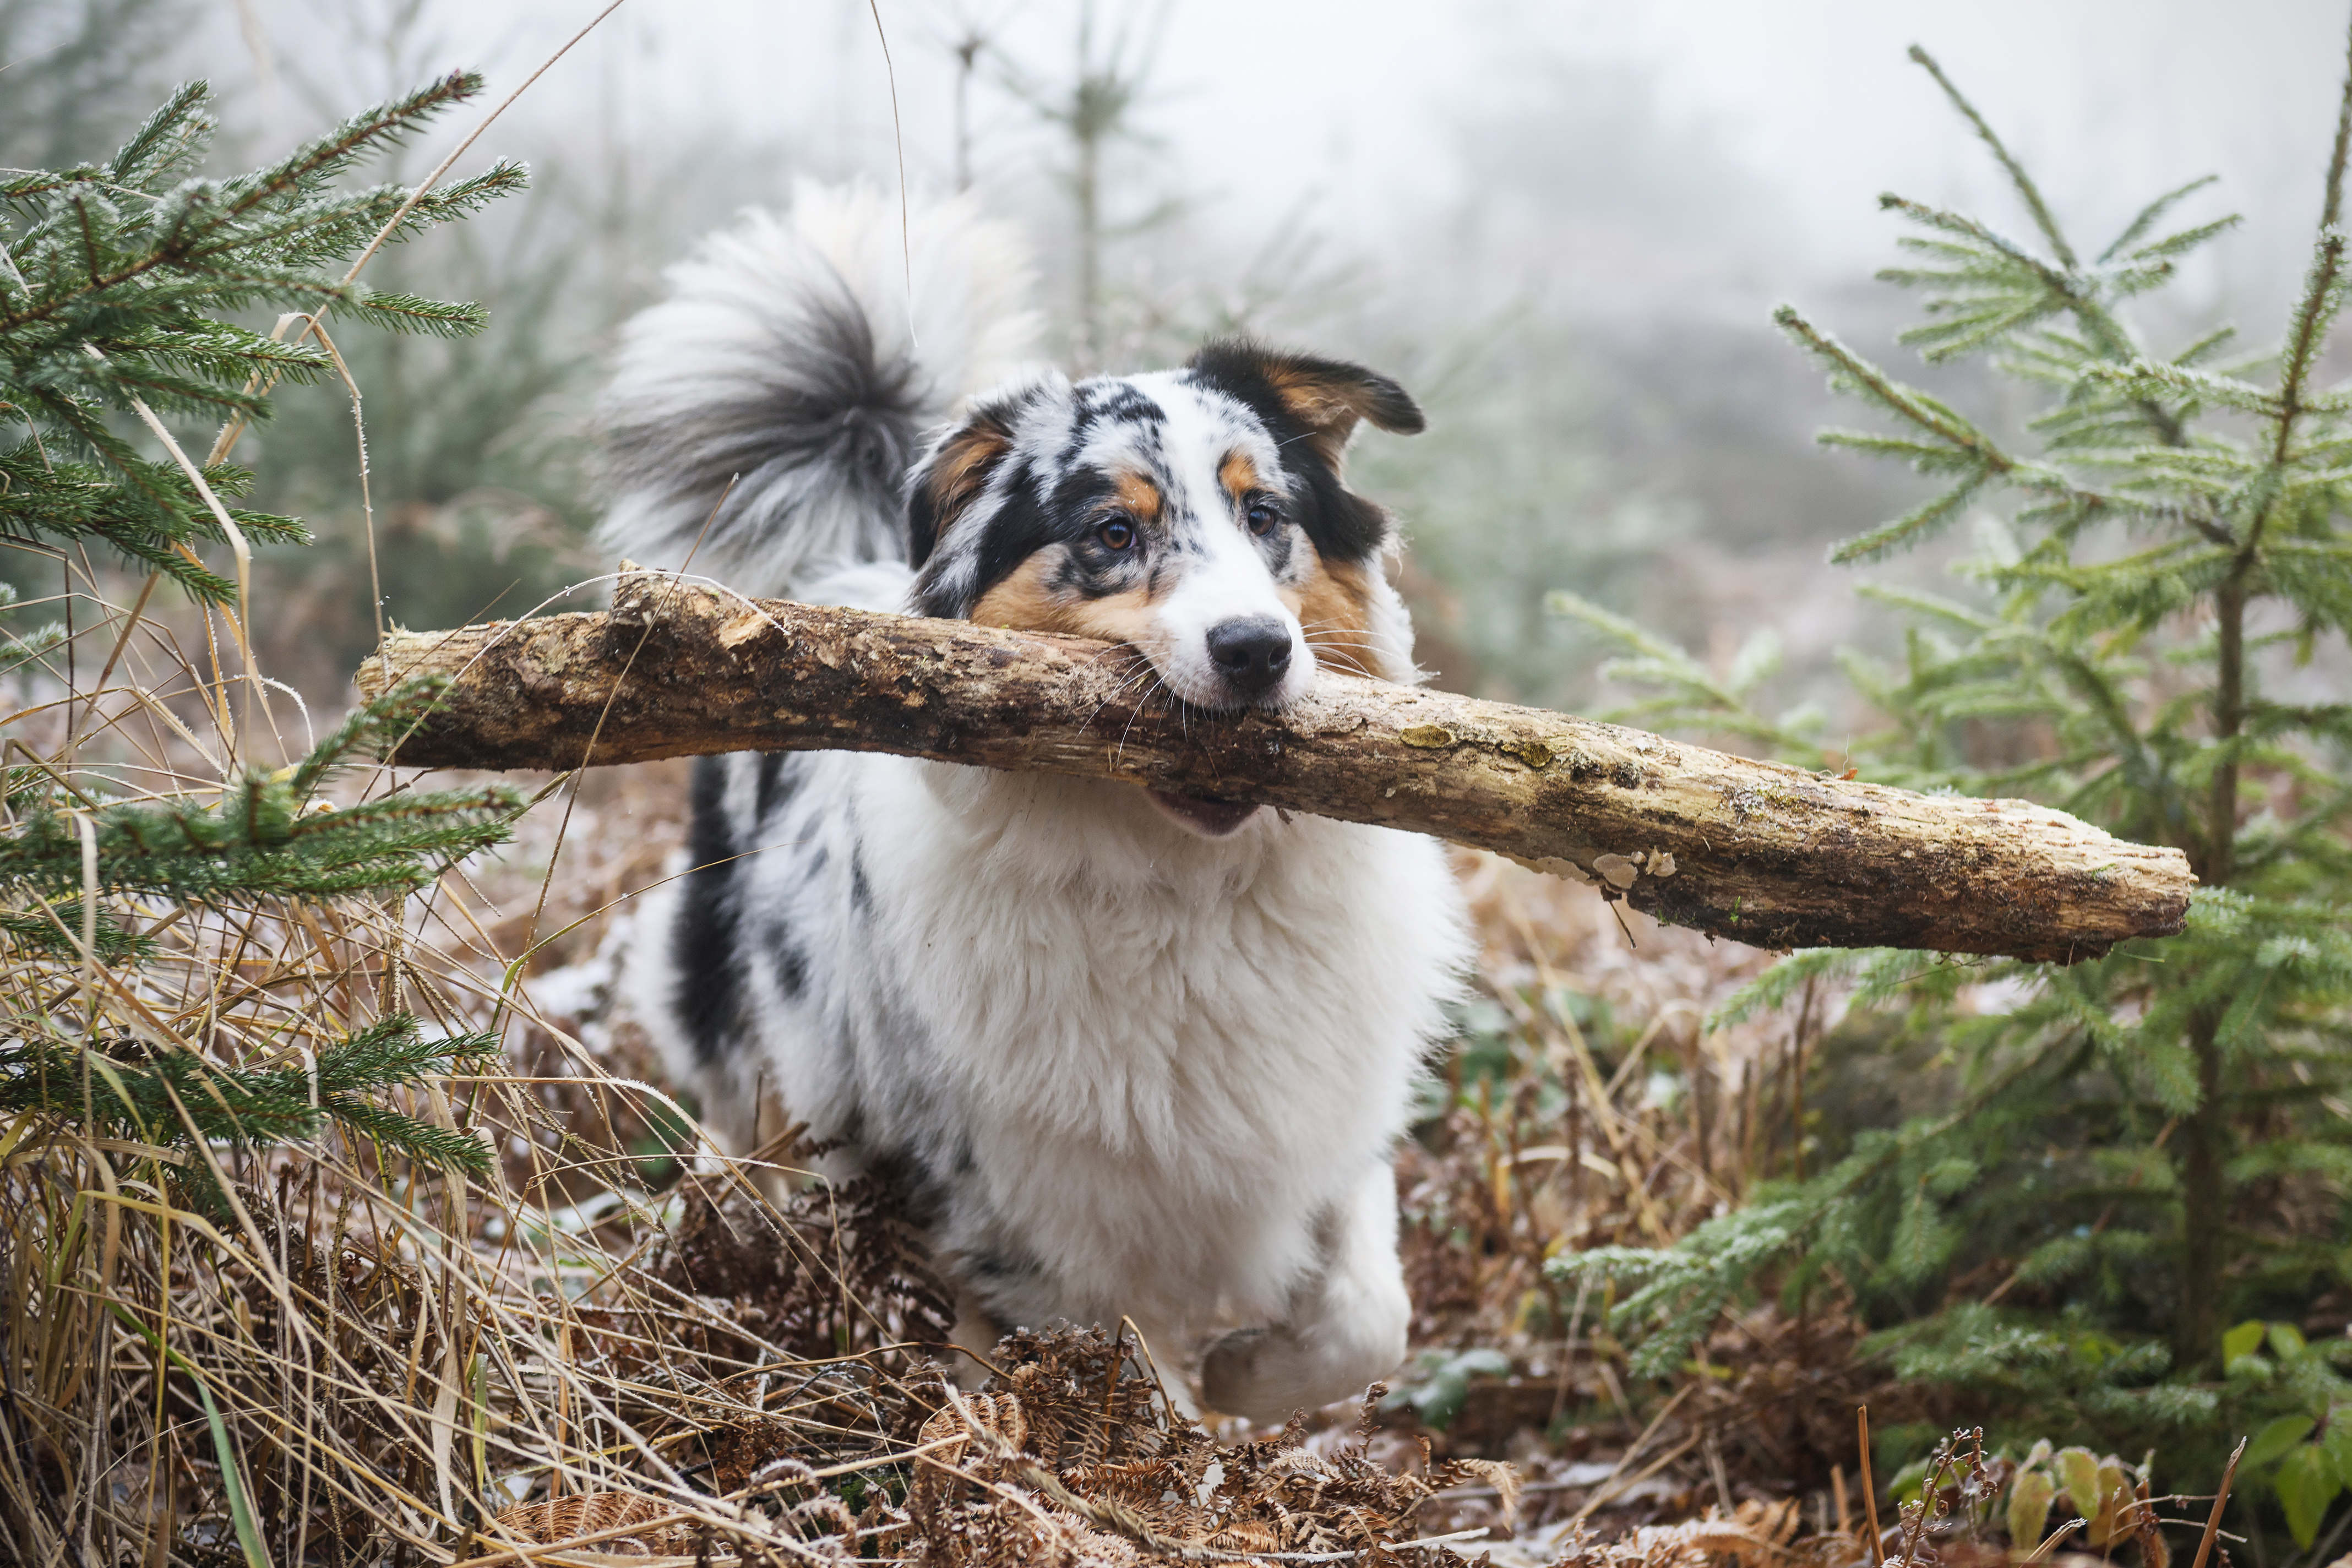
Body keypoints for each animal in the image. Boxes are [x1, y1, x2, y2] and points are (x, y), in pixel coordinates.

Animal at [597, 184, 1458, 1419]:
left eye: (1264, 516)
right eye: (1111, 533)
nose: (1256, 651)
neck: (1183, 893)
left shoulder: (1323, 1118)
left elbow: (1368, 1317)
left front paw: (1253, 1374)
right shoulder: (1024, 1212)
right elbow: (1124, 1393)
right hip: (754, 1047)